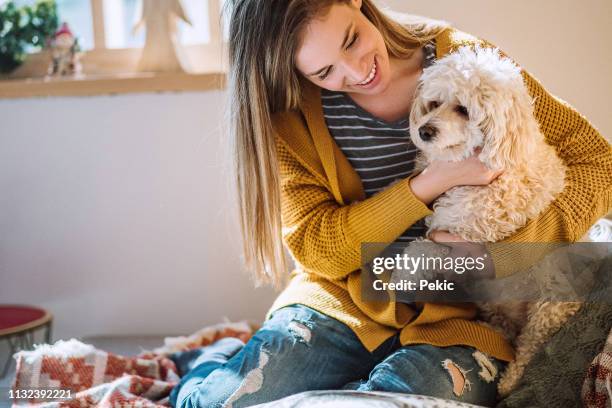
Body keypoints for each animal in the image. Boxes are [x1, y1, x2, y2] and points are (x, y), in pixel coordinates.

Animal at [408, 46, 580, 396]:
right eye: (434, 103)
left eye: (463, 109)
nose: (423, 131)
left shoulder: (467, 240)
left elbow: (426, 248)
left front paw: (405, 273)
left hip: (549, 306)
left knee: (527, 349)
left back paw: (508, 381)